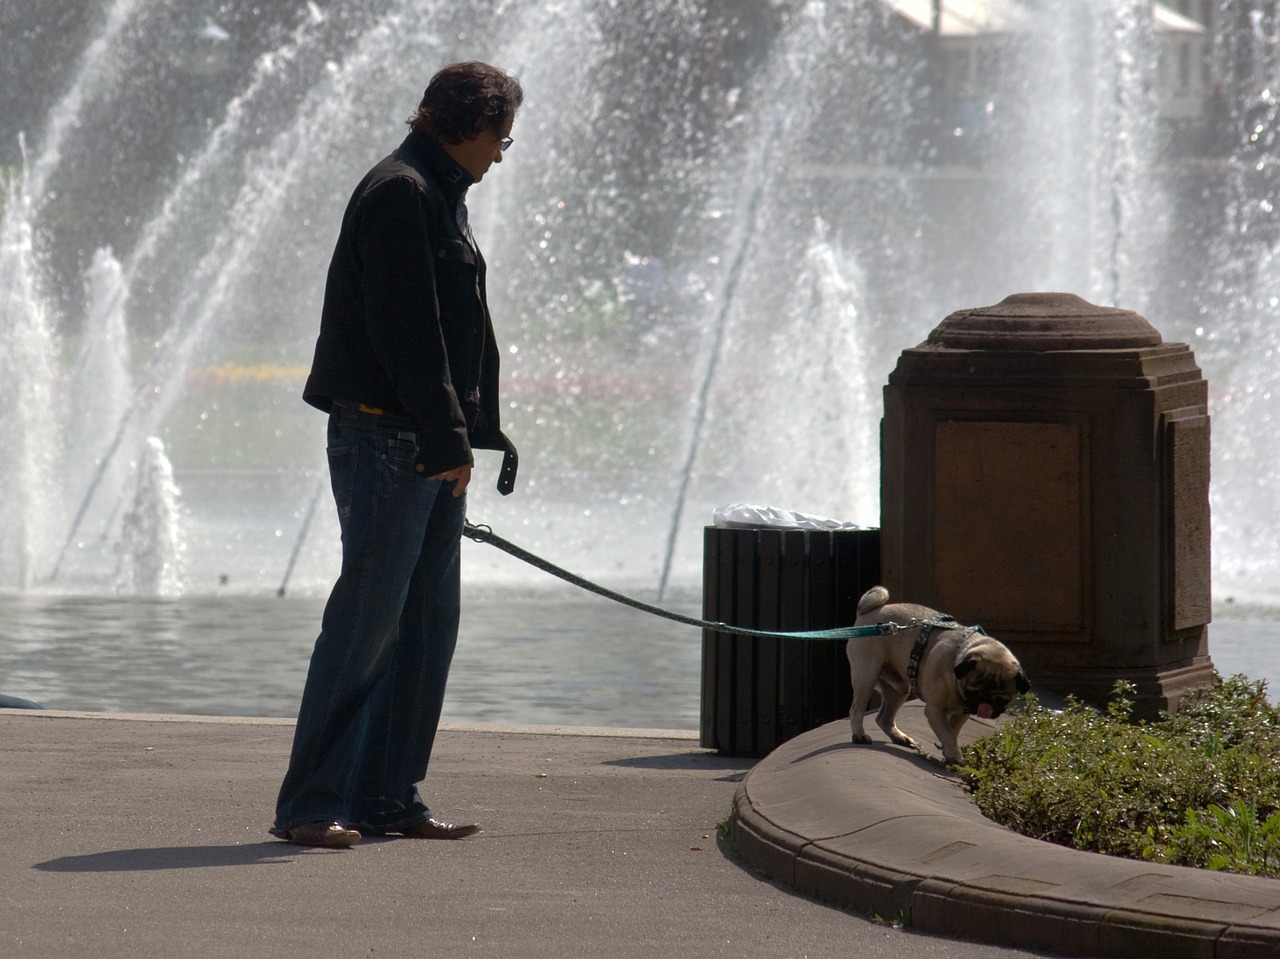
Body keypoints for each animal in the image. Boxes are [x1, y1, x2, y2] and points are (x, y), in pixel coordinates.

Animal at [844, 583, 1034, 763]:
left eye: (1002, 699)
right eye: (974, 691)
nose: (985, 706)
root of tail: (869, 613)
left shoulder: (962, 712)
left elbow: (952, 731)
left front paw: (948, 751)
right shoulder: (935, 710)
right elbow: (947, 733)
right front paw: (954, 756)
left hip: (898, 689)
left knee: (884, 717)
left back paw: (900, 738)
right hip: (866, 676)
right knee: (856, 709)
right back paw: (860, 735)